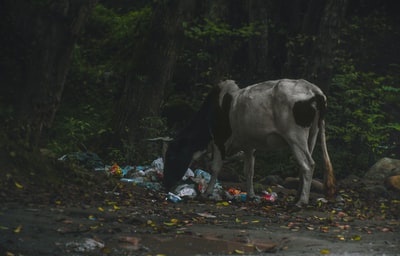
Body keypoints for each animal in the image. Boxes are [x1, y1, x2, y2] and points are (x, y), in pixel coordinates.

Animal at [162, 78, 334, 206]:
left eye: (170, 156)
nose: (165, 184)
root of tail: (314, 90)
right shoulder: (249, 146)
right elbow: (249, 171)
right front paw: (251, 195)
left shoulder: (219, 139)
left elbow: (216, 167)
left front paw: (206, 193)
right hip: (312, 134)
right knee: (303, 165)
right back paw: (297, 197)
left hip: (295, 136)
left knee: (308, 164)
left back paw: (301, 201)